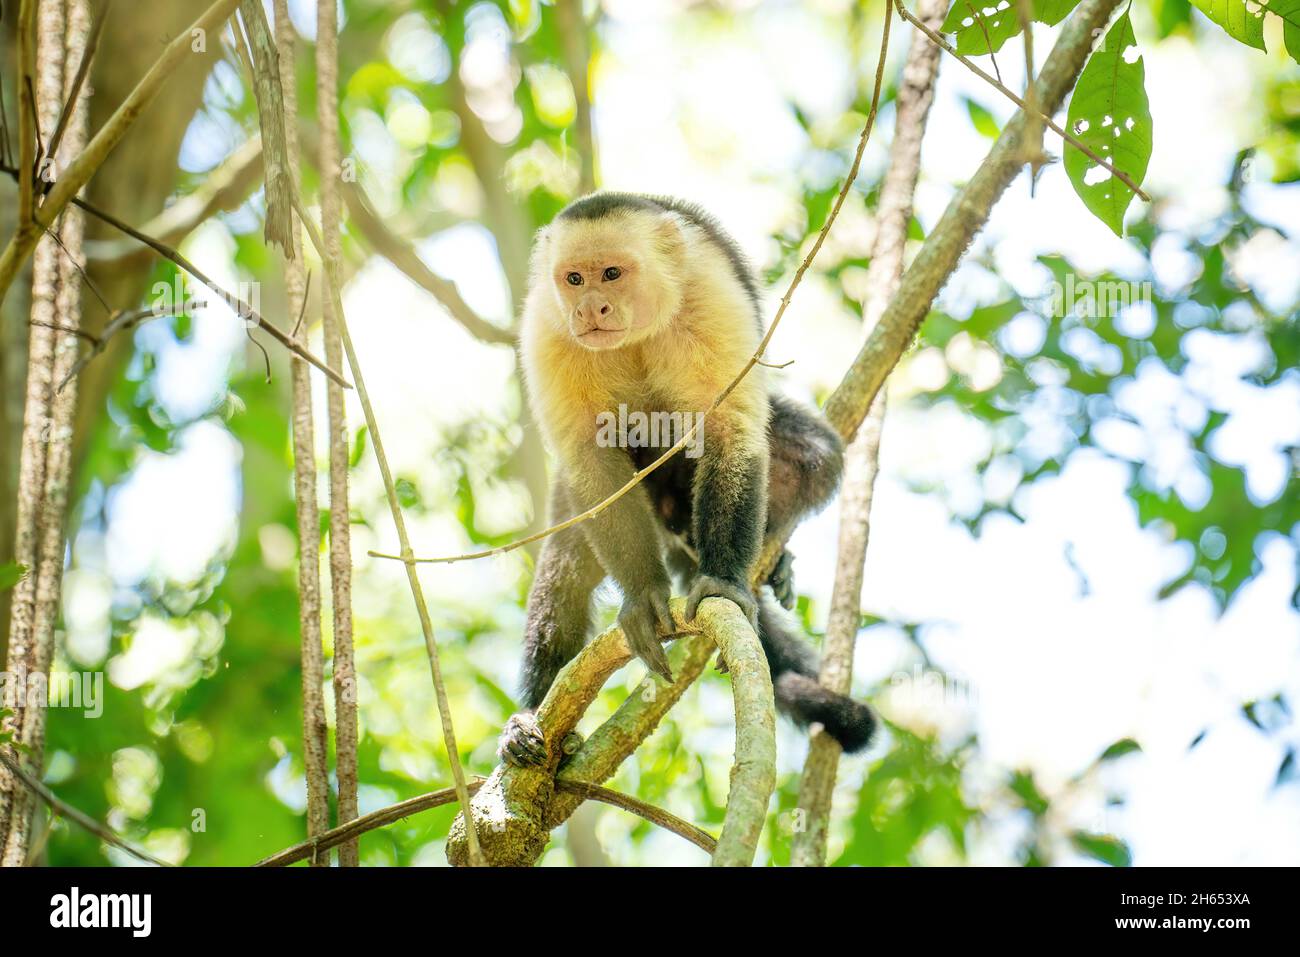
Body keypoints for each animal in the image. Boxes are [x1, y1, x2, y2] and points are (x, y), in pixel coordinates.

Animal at [493, 191, 873, 764]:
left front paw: (722, 582)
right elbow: (592, 463)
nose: (590, 308)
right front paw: (644, 596)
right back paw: (535, 718)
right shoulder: (547, 328)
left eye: (612, 273)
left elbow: (730, 432)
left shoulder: (710, 292)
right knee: (569, 557)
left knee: (815, 455)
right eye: (574, 279)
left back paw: (748, 560)